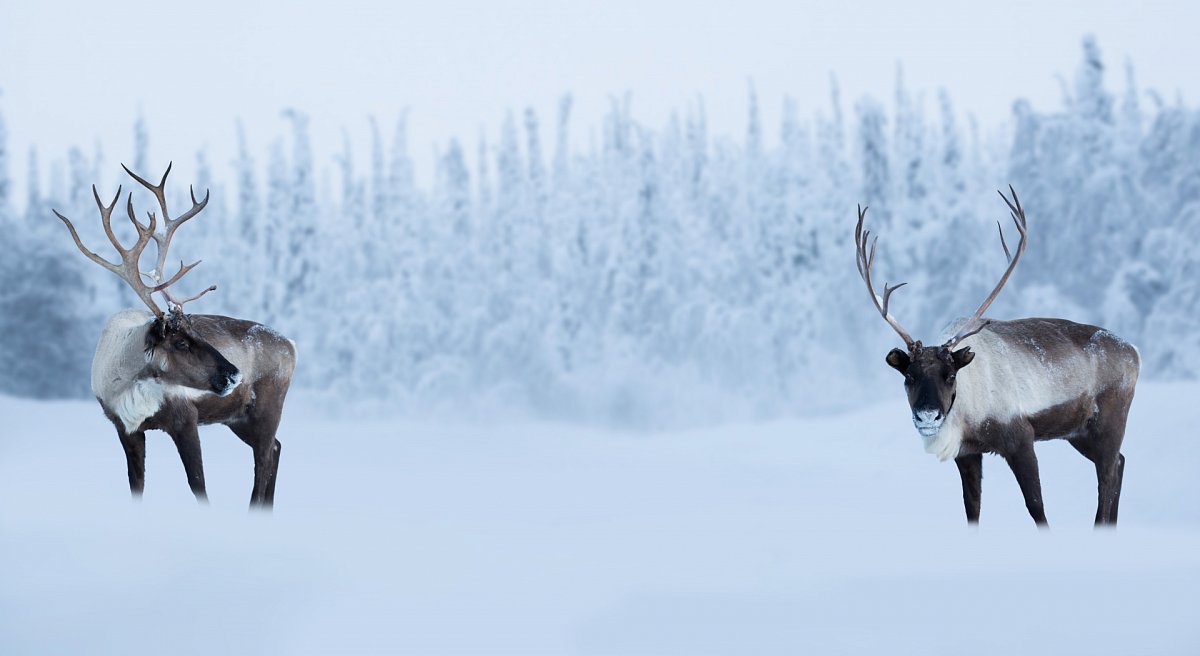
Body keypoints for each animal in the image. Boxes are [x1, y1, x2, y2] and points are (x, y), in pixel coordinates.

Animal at [52, 163, 296, 509]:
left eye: (196, 331)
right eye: (180, 341)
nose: (234, 375)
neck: (128, 377)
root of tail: (291, 345)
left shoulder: (185, 418)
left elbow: (199, 486)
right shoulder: (125, 428)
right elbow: (136, 485)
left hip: (265, 408)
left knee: (263, 459)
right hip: (236, 417)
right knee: (275, 448)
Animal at [855, 187, 1139, 527]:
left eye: (950, 376)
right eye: (909, 377)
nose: (927, 416)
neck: (968, 410)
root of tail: (1134, 352)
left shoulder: (1021, 438)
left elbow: (1036, 507)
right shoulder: (967, 453)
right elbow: (972, 508)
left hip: (1109, 421)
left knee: (1107, 475)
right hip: (1077, 432)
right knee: (1120, 463)